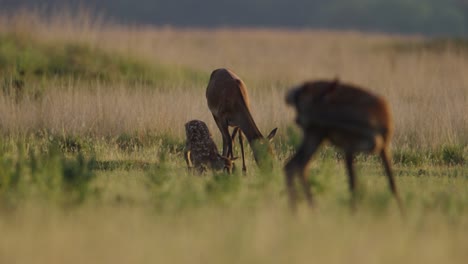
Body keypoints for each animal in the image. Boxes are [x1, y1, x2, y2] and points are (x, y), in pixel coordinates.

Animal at [284, 78, 404, 212]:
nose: (298, 120)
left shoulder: (383, 148)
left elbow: (392, 184)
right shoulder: (349, 147)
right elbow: (353, 184)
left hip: (316, 136)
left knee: (295, 166)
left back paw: (300, 209)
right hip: (316, 136)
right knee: (297, 166)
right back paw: (307, 209)